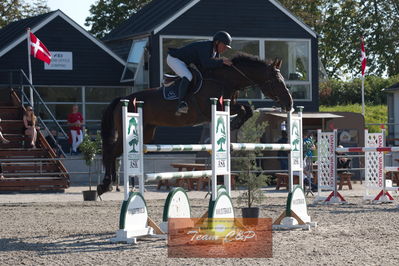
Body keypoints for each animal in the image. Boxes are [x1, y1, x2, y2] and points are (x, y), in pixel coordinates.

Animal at [98, 53, 294, 195]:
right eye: (277, 81)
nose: (289, 104)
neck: (225, 80)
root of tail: (123, 99)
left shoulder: (229, 104)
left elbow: (247, 109)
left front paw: (234, 125)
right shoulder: (212, 107)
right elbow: (245, 109)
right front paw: (234, 124)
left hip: (146, 132)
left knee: (115, 153)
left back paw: (109, 183)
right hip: (128, 131)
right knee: (111, 152)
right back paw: (105, 185)